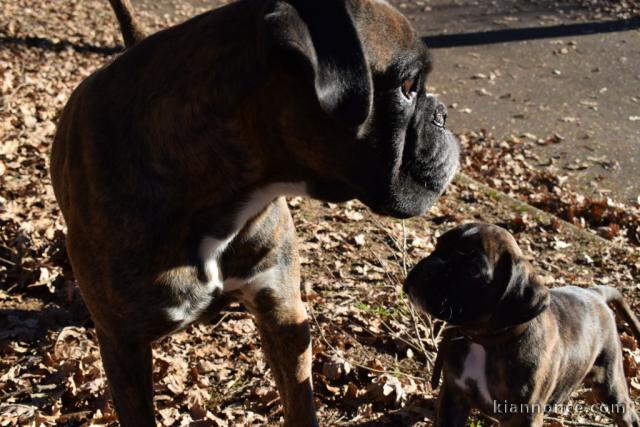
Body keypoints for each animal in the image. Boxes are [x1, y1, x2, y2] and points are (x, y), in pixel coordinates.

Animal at [404, 224, 640, 427]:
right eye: (438, 245)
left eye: (472, 270)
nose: (430, 267)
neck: (484, 341)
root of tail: (595, 293)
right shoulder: (453, 396)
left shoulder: (523, 417)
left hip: (611, 383)